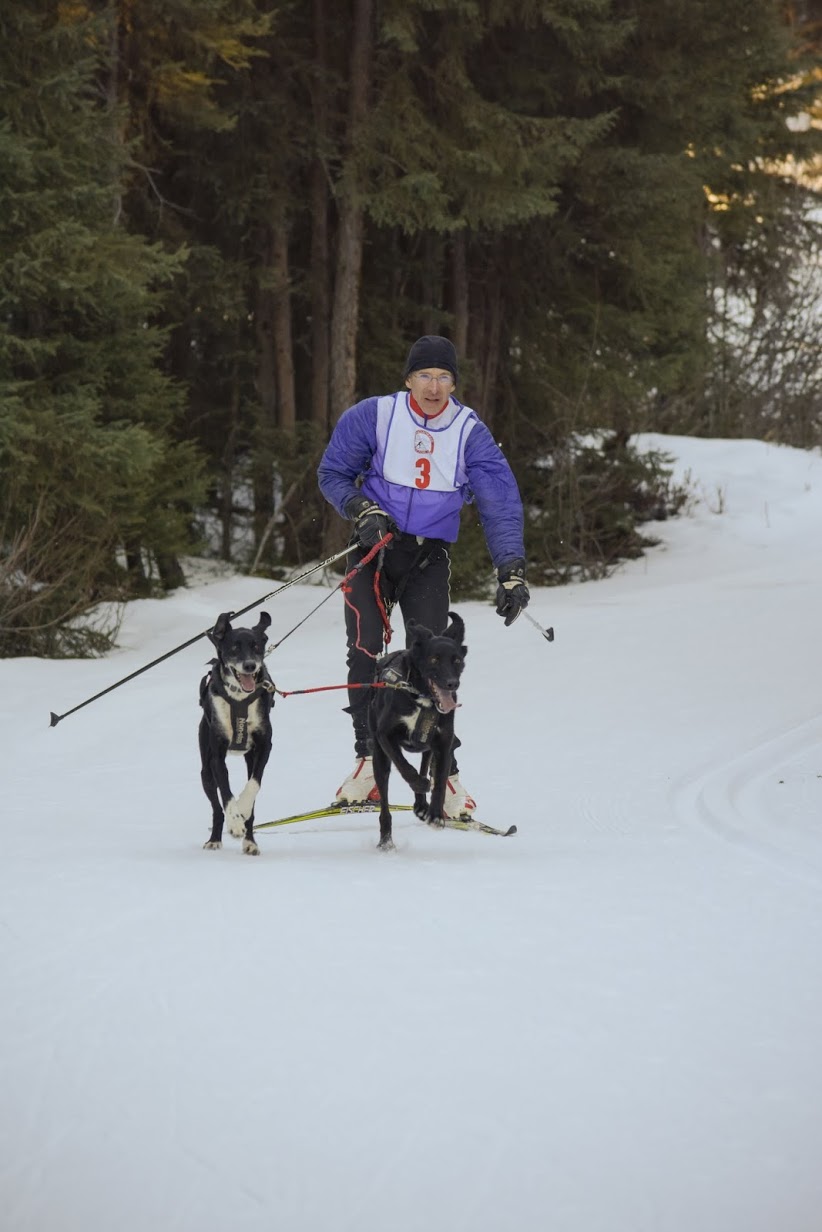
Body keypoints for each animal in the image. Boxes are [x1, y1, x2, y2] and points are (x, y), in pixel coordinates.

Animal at [199, 608, 274, 857]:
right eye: (234, 648)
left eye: (256, 646)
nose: (250, 665)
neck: (239, 697)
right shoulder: (216, 755)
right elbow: (226, 794)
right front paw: (234, 821)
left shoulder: (264, 746)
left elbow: (253, 784)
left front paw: (242, 809)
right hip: (205, 772)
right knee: (216, 808)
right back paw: (215, 838)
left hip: (250, 757)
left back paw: (250, 841)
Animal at [367, 611, 465, 852]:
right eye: (434, 659)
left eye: (457, 660)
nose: (452, 684)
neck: (422, 698)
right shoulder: (385, 736)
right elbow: (405, 768)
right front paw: (419, 783)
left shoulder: (444, 742)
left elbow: (440, 780)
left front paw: (436, 815)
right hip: (379, 759)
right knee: (385, 805)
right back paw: (385, 840)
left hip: (428, 746)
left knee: (425, 764)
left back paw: (422, 806)